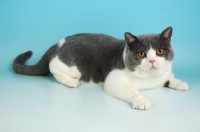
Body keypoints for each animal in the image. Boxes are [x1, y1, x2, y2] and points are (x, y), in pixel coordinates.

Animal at [13, 27, 188, 110]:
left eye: (160, 51)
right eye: (141, 54)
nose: (152, 60)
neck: (150, 80)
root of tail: (59, 43)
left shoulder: (165, 73)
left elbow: (169, 77)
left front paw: (180, 83)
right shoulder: (114, 80)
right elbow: (132, 91)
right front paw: (141, 100)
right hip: (74, 66)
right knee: (52, 66)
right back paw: (71, 81)